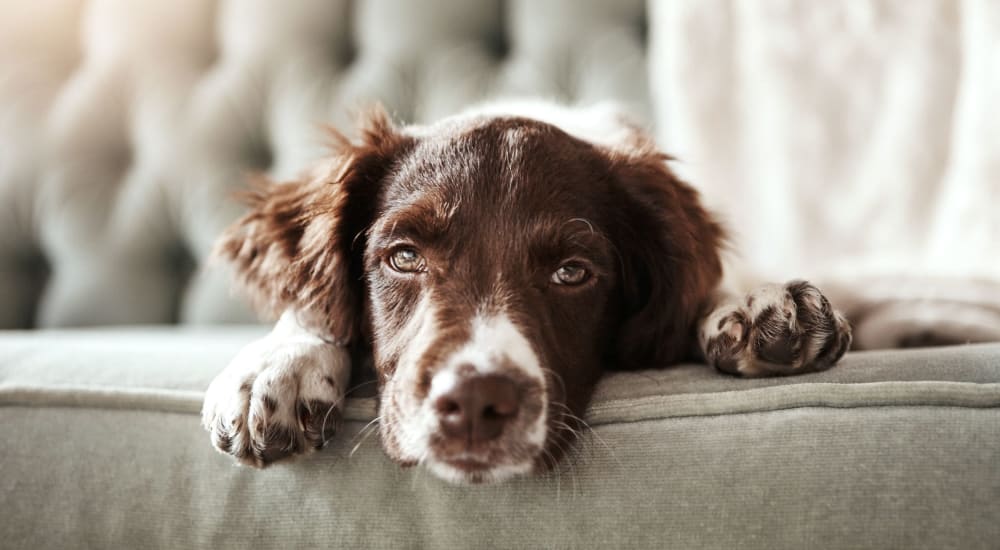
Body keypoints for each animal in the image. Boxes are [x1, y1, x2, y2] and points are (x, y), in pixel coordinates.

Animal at [201, 101, 852, 486]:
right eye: (404, 257)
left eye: (573, 272)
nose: (473, 402)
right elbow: (311, 305)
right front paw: (276, 366)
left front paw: (757, 306)